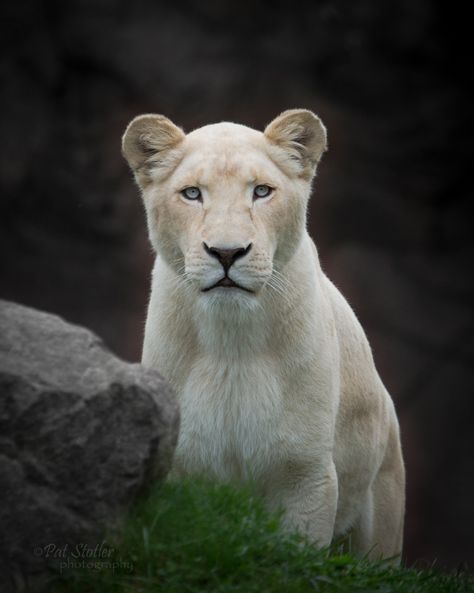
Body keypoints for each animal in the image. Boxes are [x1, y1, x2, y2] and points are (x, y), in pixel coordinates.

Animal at [121, 110, 404, 560]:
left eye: (261, 191)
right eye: (192, 194)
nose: (227, 252)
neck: (231, 343)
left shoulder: (306, 473)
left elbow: (297, 555)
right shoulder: (180, 466)